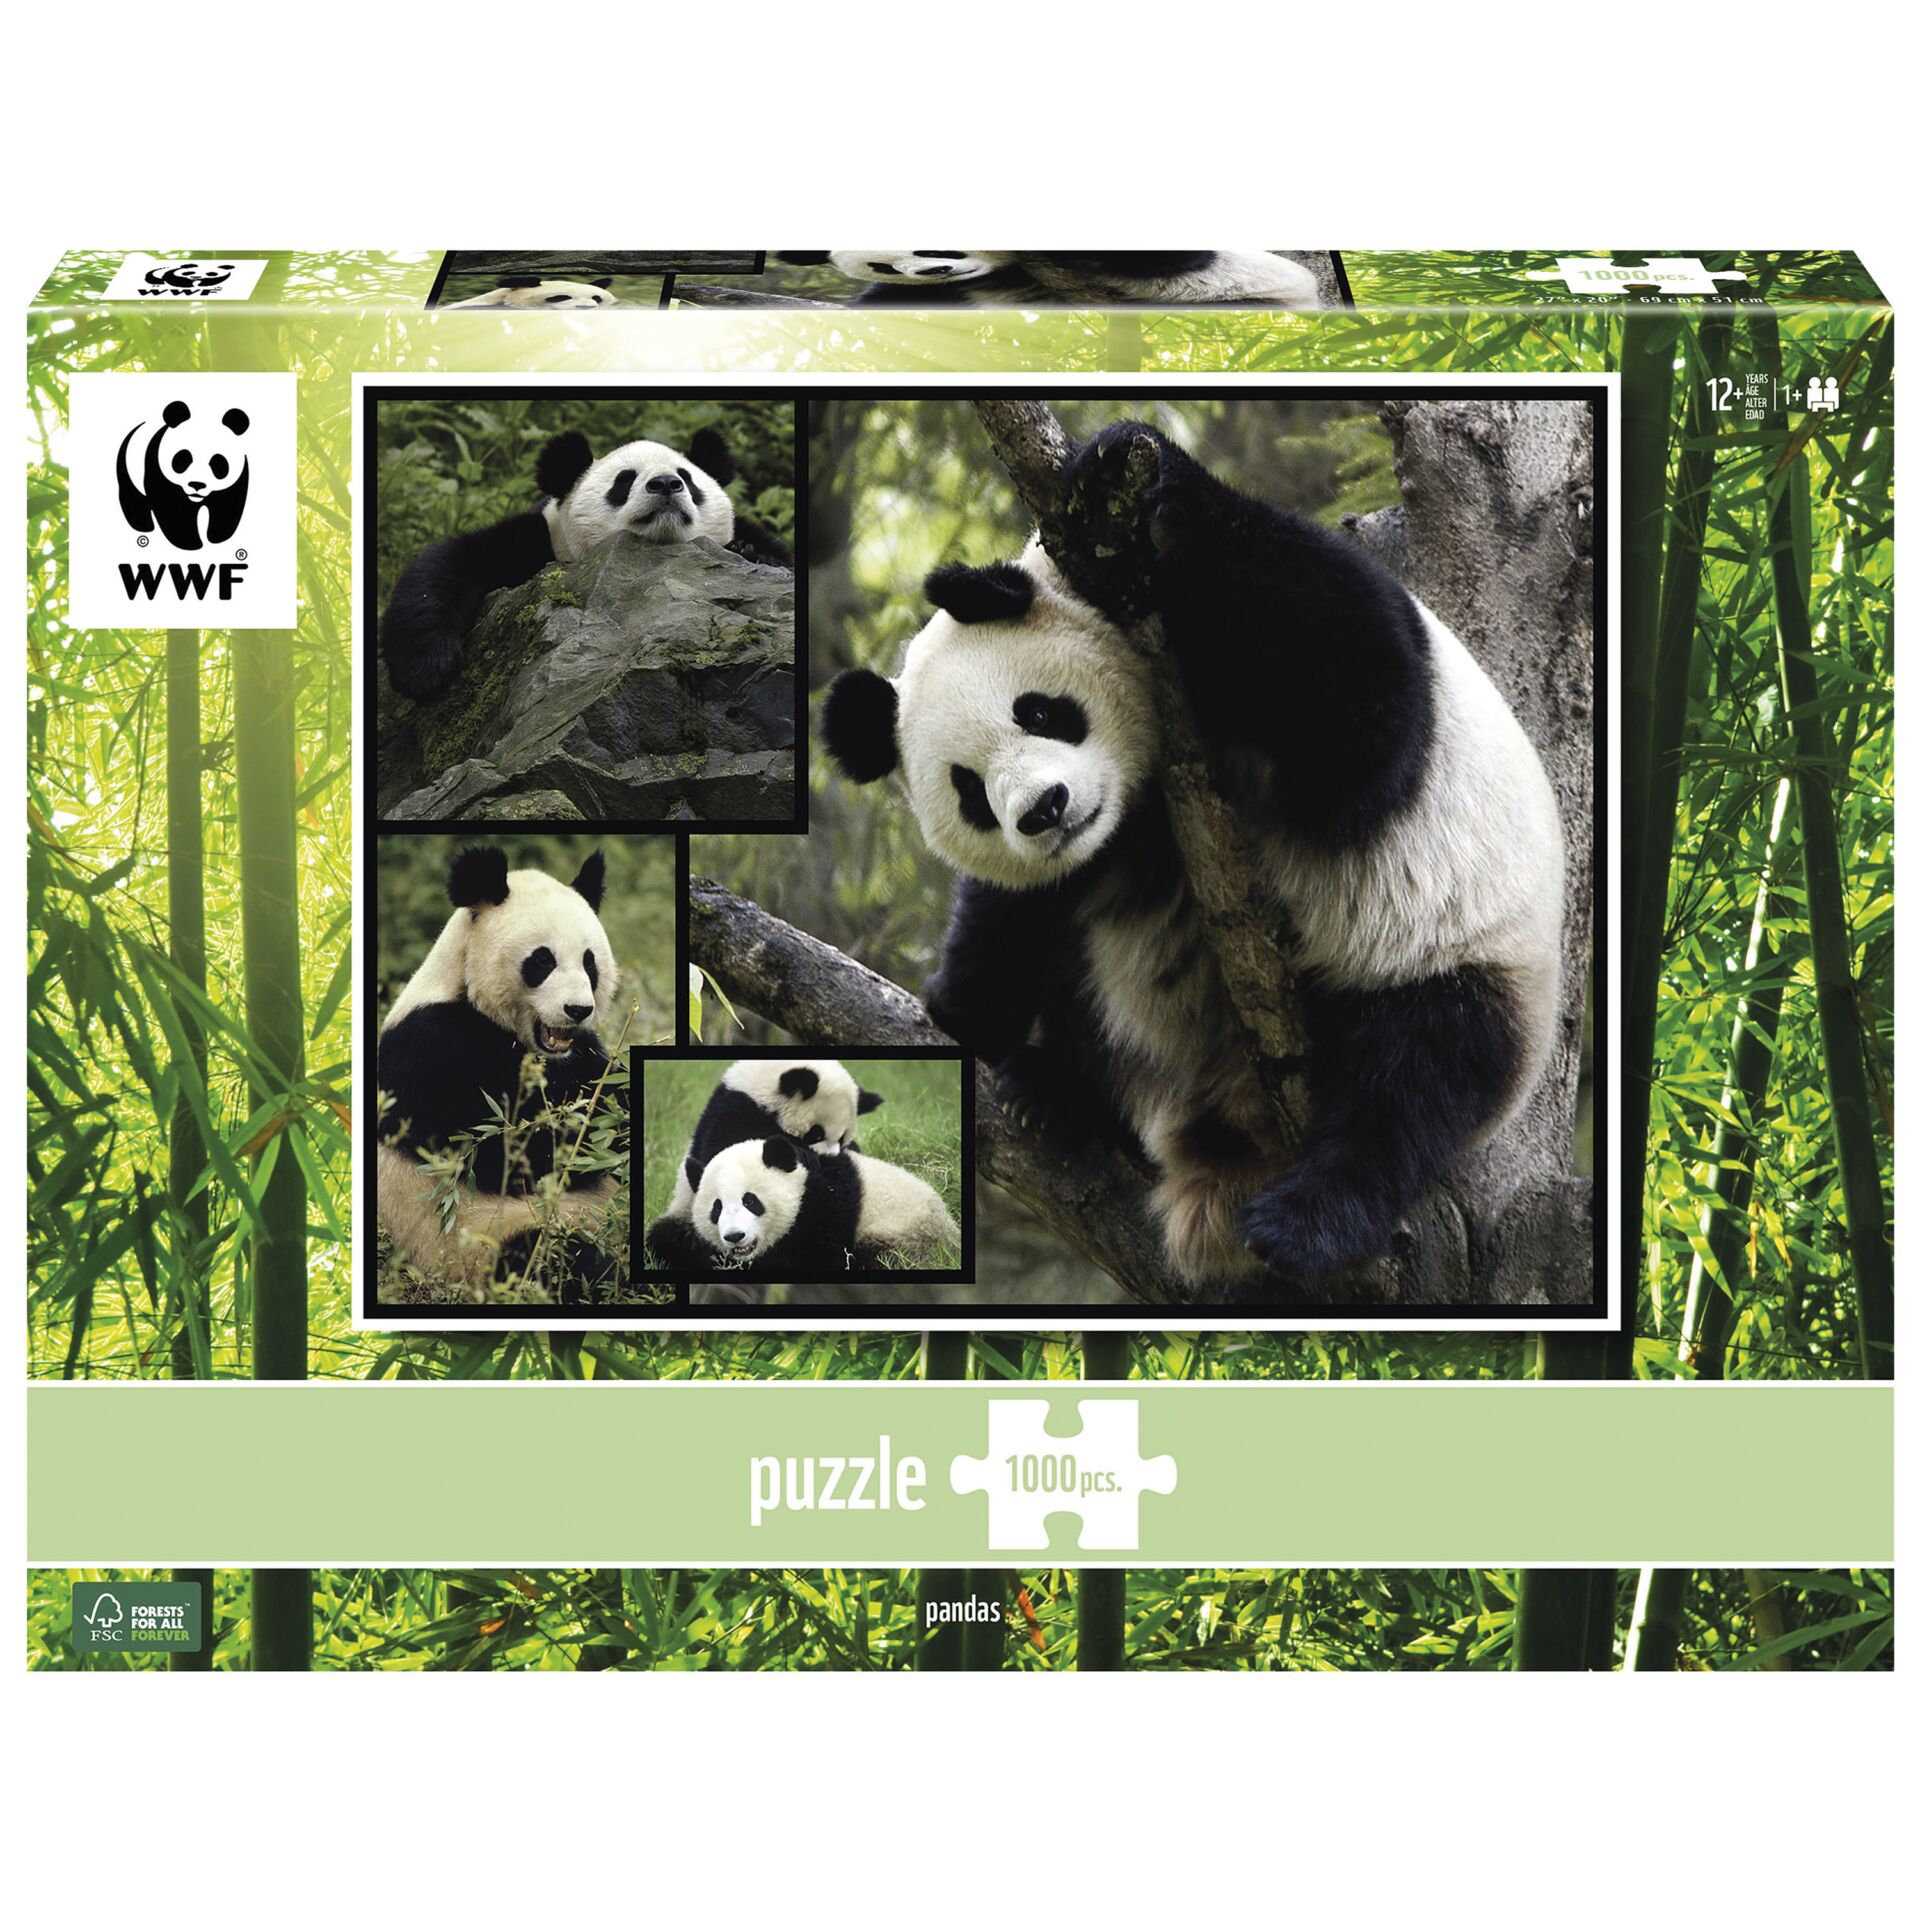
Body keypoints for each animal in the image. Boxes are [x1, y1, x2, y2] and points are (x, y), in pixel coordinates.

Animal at [115, 399, 250, 551]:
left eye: (219, 463)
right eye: (183, 459)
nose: (197, 485)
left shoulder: (237, 479)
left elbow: (227, 504)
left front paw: (217, 538)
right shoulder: (157, 469)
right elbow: (173, 508)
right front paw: (190, 543)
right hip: (126, 466)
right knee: (132, 496)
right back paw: (144, 527)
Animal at [377, 845, 625, 1301]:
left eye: (590, 962)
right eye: (542, 960)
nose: (578, 1009)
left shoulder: (581, 1054)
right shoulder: (431, 1049)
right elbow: (500, 1153)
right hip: (483, 1244)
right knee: (556, 1257)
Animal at [381, 424, 793, 702]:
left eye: (687, 479)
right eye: (624, 480)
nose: (665, 484)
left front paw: (751, 551)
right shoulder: (539, 540)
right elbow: (450, 564)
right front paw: (426, 670)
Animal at [645, 1134, 957, 1274]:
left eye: (750, 1200)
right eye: (717, 1208)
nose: (735, 1237)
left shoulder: (826, 1208)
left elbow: (813, 1260)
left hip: (907, 1237)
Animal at [821, 419, 1565, 1303]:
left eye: (1039, 711)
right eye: (968, 790)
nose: (1044, 811)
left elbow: (1360, 722)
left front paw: (1133, 468)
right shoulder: (1092, 851)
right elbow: (1015, 913)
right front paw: (968, 1004)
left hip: (1462, 952)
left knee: (1419, 1077)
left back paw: (1307, 1219)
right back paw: (1059, 1095)